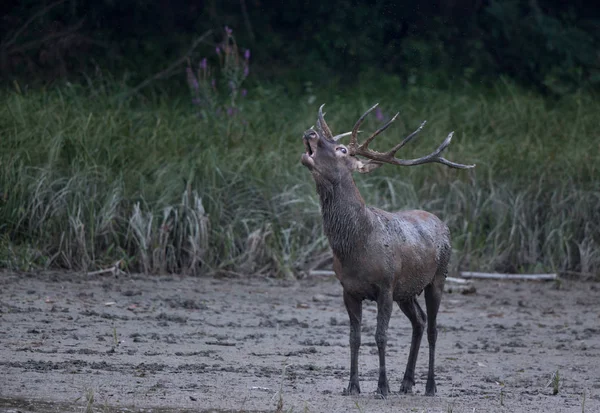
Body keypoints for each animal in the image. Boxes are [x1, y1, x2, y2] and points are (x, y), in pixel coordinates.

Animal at [300, 104, 474, 398]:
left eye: (342, 149)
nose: (310, 132)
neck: (356, 247)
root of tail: (443, 223)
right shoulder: (349, 290)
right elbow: (354, 338)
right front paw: (352, 386)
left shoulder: (386, 285)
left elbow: (381, 336)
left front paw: (382, 386)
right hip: (407, 291)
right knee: (419, 321)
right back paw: (407, 382)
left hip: (438, 276)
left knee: (433, 328)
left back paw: (430, 386)